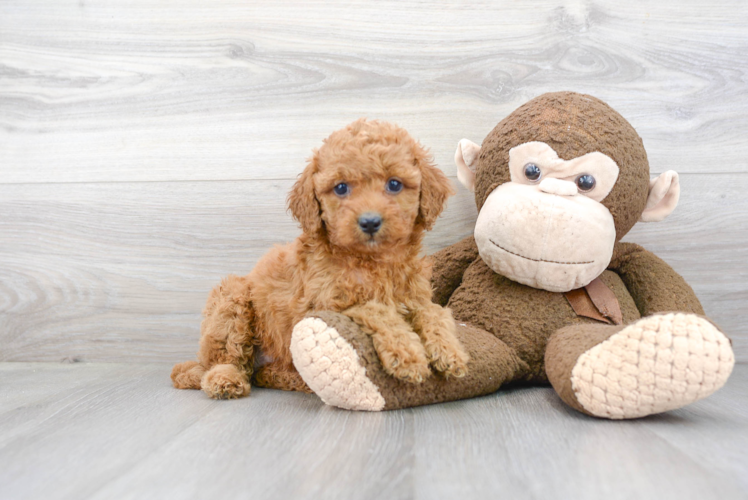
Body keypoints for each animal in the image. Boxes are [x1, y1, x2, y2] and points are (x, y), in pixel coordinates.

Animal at [172, 118, 470, 398]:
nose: (370, 222)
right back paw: (225, 380)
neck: (372, 260)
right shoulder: (324, 305)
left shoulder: (416, 296)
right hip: (231, 300)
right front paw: (408, 353)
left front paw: (450, 351)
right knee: (223, 359)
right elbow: (375, 309)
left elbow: (434, 312)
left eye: (394, 184)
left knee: (263, 374)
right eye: (340, 188)